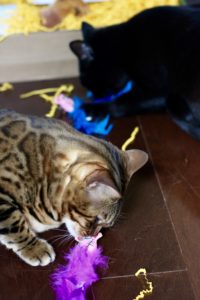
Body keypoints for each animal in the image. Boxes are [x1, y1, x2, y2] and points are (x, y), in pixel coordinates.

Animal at [70, 5, 200, 140]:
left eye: (87, 82)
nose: (96, 97)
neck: (127, 43)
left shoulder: (159, 92)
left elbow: (120, 104)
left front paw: (93, 108)